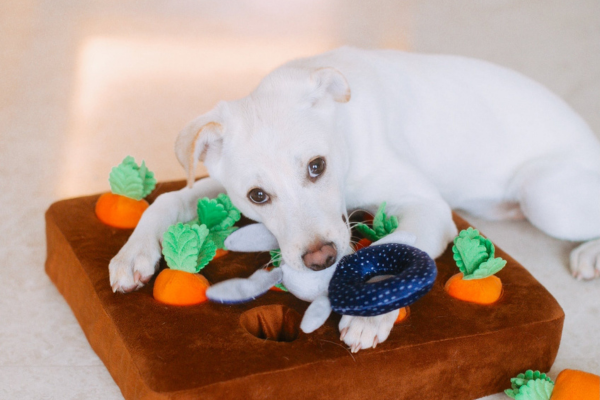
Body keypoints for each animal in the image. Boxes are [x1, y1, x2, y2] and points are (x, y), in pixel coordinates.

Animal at [108, 47, 600, 352]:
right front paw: (133, 254)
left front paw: (370, 314)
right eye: (258, 195)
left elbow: (391, 245)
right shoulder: (221, 190)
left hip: (543, 196)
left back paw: (589, 256)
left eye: (316, 166)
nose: (321, 260)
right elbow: (169, 200)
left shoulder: (429, 207)